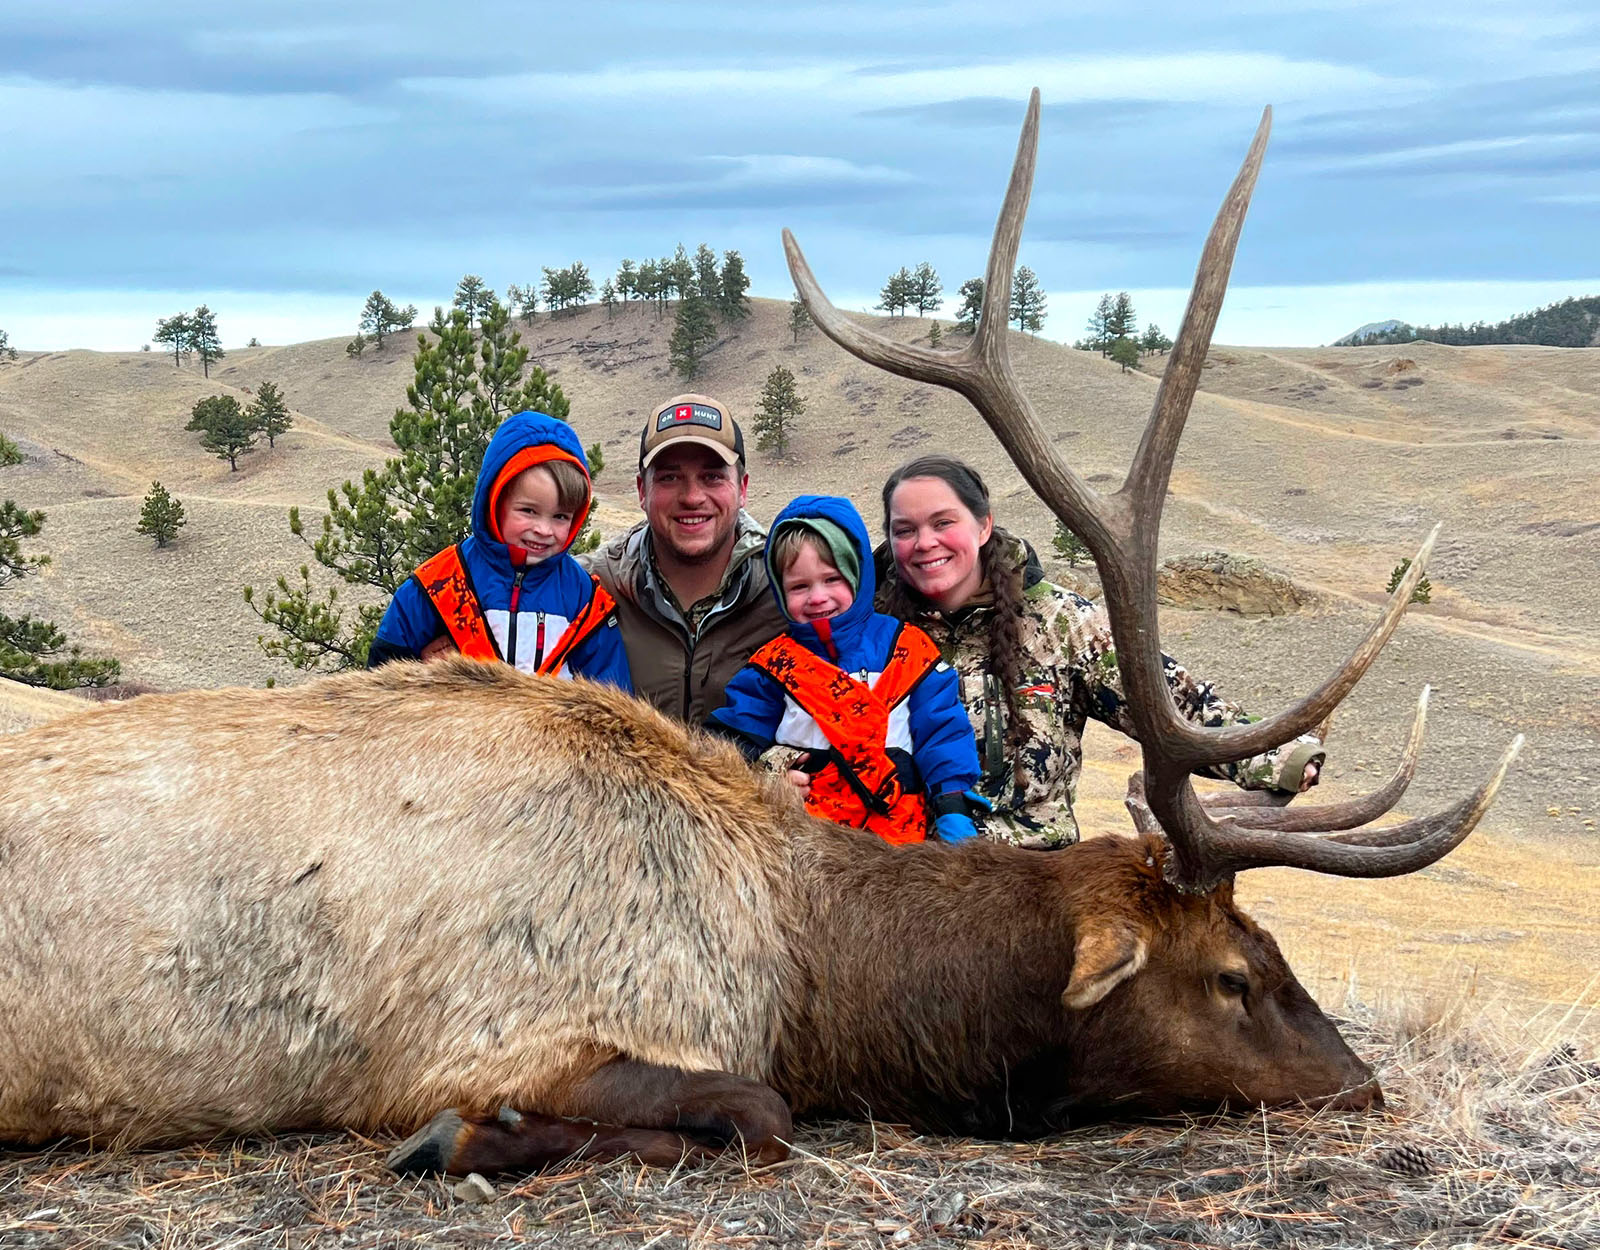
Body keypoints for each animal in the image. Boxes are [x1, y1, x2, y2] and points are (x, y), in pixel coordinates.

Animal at [0, 95, 1519, 1178]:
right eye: (1234, 972)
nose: (1363, 1082)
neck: (809, 967)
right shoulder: (502, 1026)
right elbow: (757, 1106)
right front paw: (464, 1140)